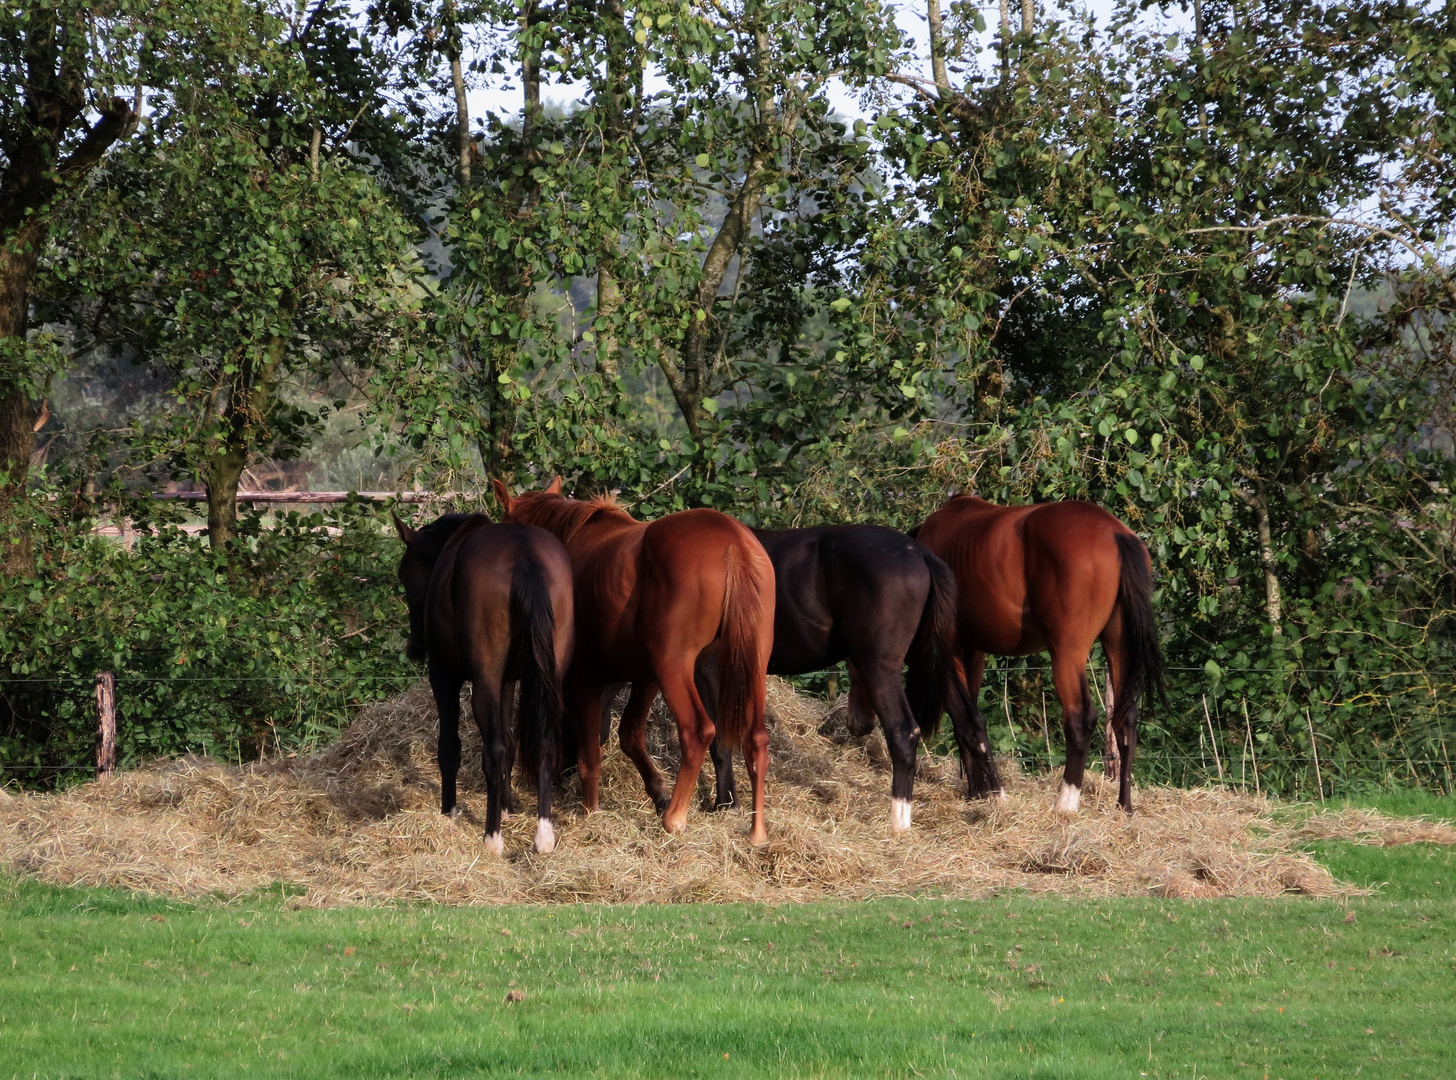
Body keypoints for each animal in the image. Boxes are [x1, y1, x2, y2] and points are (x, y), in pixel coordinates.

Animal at [398, 512, 579, 855]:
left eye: (403, 576)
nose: (413, 649)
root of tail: (524, 555)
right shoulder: (506, 683)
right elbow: (510, 743)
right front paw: (507, 808)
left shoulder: (444, 677)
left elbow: (451, 747)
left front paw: (450, 811)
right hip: (550, 679)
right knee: (543, 742)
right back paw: (543, 834)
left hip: (483, 682)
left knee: (493, 748)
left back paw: (492, 838)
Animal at [495, 480, 780, 844]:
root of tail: (733, 543)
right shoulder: (646, 677)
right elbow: (629, 734)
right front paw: (657, 792)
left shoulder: (586, 681)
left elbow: (591, 756)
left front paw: (591, 812)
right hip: (751, 661)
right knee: (756, 739)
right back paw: (757, 832)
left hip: (675, 667)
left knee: (697, 732)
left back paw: (675, 819)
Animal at [684, 523, 1001, 826]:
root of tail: (921, 554)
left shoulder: (707, 668)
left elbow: (719, 740)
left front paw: (726, 804)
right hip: (933, 660)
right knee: (971, 722)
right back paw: (995, 798)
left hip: (879, 668)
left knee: (903, 732)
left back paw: (899, 820)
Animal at [914, 494, 1164, 815]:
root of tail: (1115, 533)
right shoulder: (973, 654)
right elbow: (967, 718)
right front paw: (978, 791)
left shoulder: (952, 652)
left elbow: (966, 721)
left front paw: (985, 791)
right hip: (1118, 645)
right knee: (1125, 719)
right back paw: (1125, 805)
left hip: (1067, 653)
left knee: (1080, 719)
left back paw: (1065, 802)